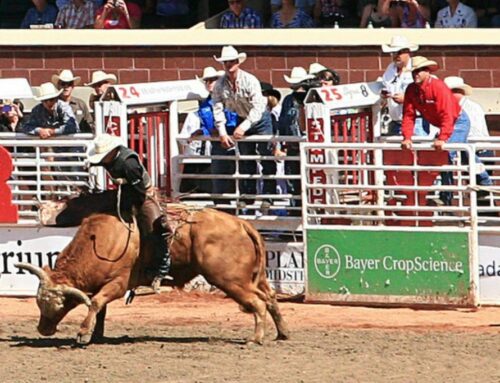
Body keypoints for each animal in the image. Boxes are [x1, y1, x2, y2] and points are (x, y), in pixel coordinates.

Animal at [16, 191, 290, 344]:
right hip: (253, 277)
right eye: (39, 302)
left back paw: (255, 338)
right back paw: (282, 333)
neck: (105, 239)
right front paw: (96, 333)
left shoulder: (120, 283)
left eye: (57, 304)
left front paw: (83, 334)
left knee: (257, 303)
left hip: (229, 279)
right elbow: (100, 308)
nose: (43, 329)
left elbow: (96, 302)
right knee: (270, 297)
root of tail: (242, 223)